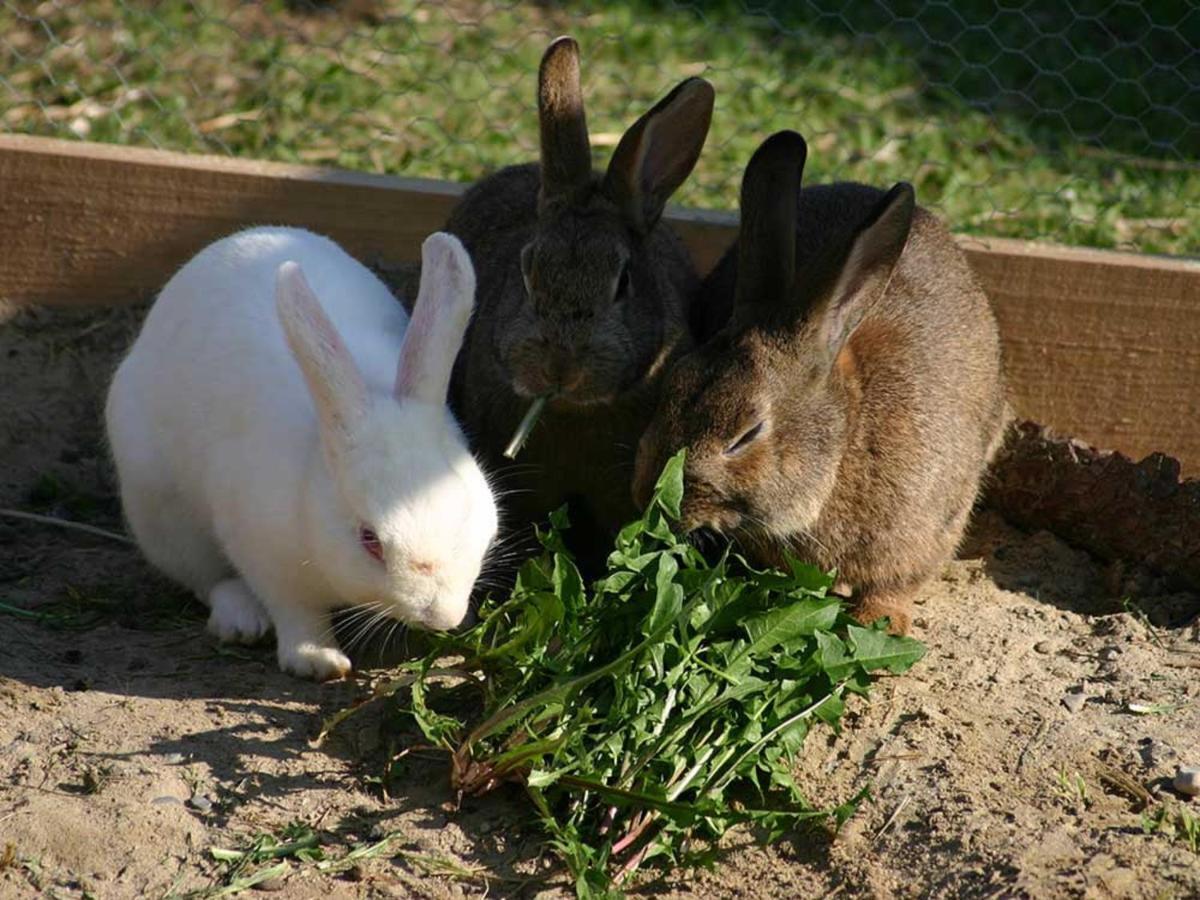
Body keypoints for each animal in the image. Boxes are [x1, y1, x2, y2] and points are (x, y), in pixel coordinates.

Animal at [104, 229, 496, 681]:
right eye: (370, 539)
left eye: (464, 513)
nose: (440, 615)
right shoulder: (263, 553)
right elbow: (297, 612)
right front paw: (317, 661)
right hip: (164, 517)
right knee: (209, 579)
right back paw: (241, 621)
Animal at [633, 130, 1008, 633]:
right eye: (672, 385)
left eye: (746, 436)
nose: (647, 501)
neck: (847, 439)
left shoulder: (925, 531)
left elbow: (895, 585)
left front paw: (878, 623)